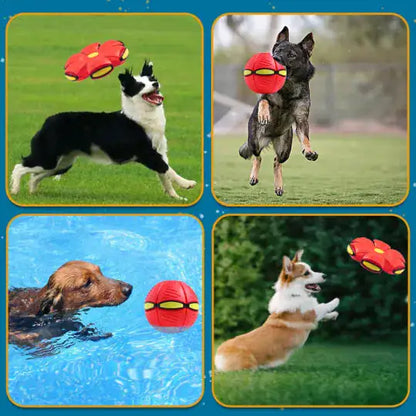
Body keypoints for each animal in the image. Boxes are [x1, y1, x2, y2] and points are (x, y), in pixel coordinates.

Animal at [10, 59, 197, 200]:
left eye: (151, 80)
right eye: (140, 86)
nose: (156, 83)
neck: (142, 114)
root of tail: (48, 120)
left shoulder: (160, 151)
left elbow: (165, 177)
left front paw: (176, 197)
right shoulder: (146, 153)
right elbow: (166, 169)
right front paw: (187, 183)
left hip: (62, 163)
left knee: (35, 175)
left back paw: (33, 191)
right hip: (48, 157)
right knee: (19, 167)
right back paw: (15, 190)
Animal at [239, 27, 316, 197]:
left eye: (291, 55)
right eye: (278, 50)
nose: (274, 58)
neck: (287, 88)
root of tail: (270, 137)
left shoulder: (301, 119)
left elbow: (306, 138)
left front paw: (309, 151)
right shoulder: (265, 96)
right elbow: (264, 100)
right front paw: (264, 114)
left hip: (284, 149)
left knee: (276, 162)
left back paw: (278, 186)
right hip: (254, 141)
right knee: (257, 157)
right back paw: (253, 177)